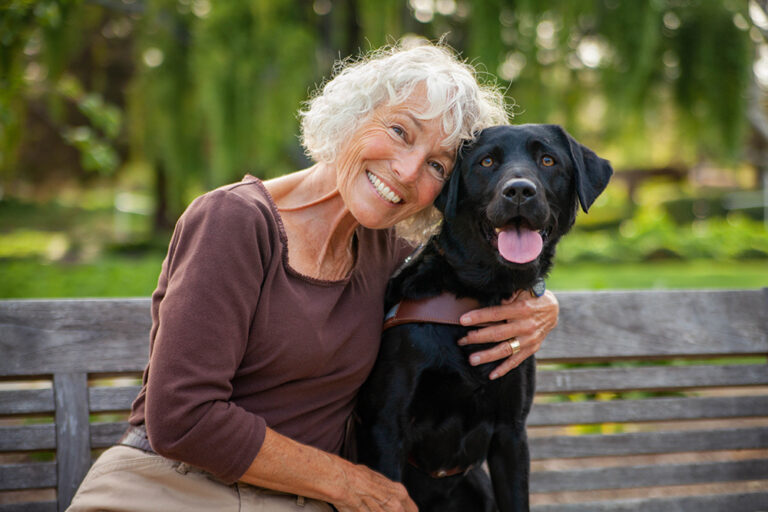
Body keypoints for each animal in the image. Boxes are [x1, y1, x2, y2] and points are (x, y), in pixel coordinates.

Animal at [354, 125, 612, 512]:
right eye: (486, 162)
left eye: (548, 160)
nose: (519, 190)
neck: (477, 296)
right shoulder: (386, 426)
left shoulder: (511, 432)